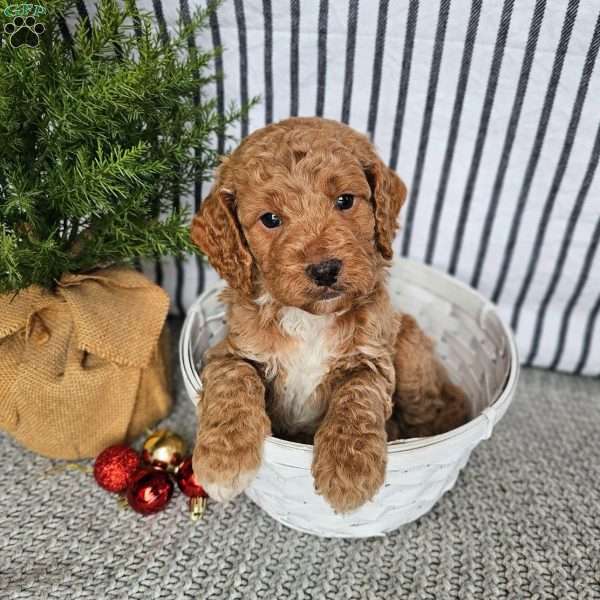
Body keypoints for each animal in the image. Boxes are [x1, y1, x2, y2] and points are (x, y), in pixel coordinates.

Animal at [190, 116, 472, 510]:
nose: (325, 270)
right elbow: (234, 378)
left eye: (345, 200)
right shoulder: (229, 350)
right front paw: (223, 460)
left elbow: (356, 396)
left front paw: (348, 469)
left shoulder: (371, 358)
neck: (310, 319)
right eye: (270, 219)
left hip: (410, 351)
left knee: (431, 410)